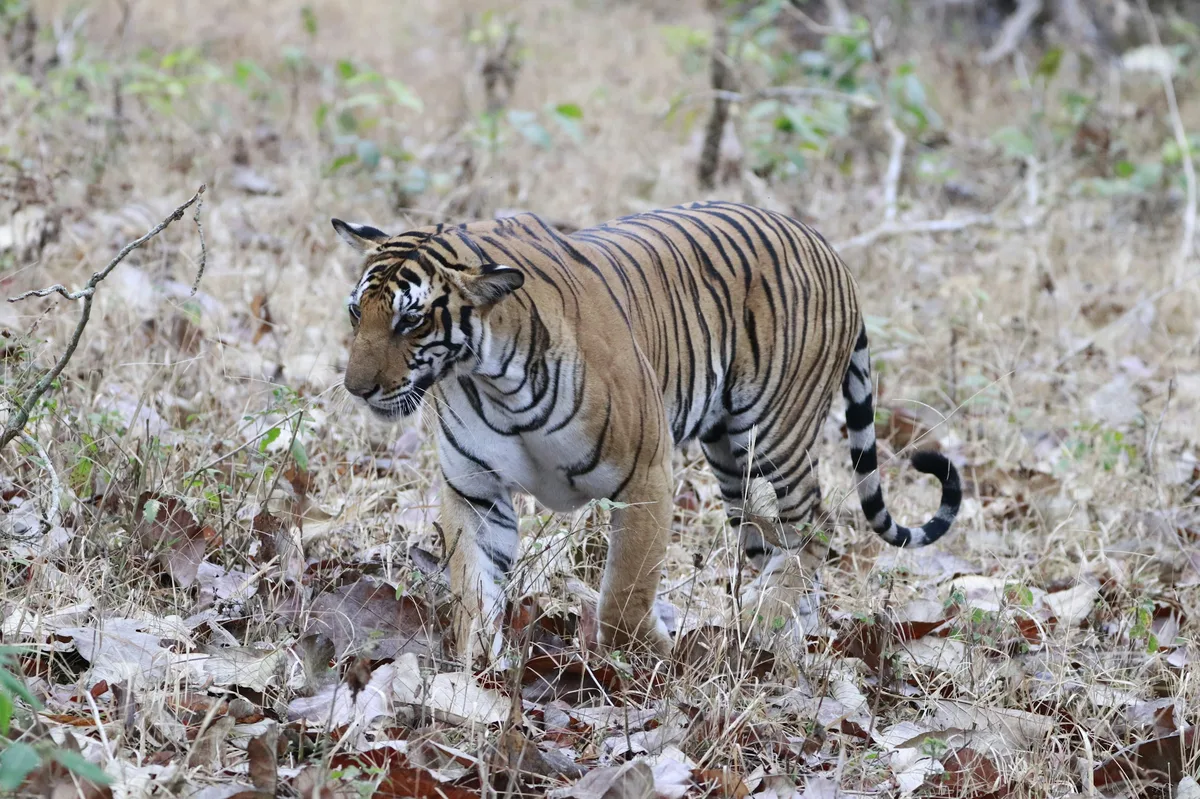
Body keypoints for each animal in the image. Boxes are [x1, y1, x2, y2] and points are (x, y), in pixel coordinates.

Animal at [332, 200, 961, 662]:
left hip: (775, 432)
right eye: (355, 313)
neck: (488, 378)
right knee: (770, 538)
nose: (355, 388)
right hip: (731, 458)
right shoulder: (475, 490)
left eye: (411, 320)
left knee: (815, 527)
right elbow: (474, 593)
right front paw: (475, 676)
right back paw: (782, 637)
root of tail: (825, 244)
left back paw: (767, 620)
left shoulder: (645, 477)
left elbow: (624, 595)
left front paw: (659, 657)